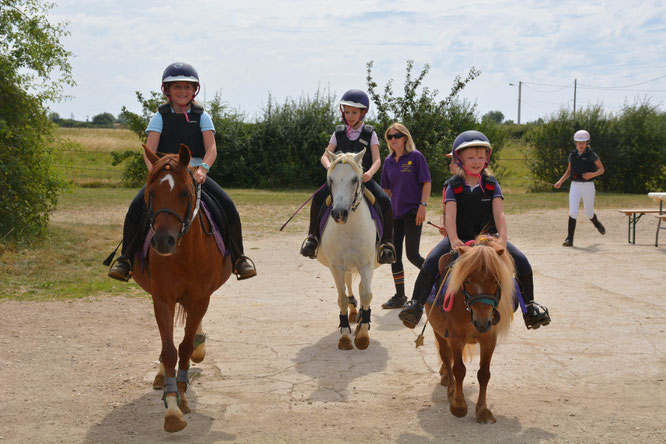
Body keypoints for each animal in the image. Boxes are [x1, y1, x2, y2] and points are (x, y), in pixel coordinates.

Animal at [131, 146, 232, 434]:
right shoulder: (162, 299)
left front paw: (183, 396)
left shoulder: (200, 299)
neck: (184, 254)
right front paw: (172, 407)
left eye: (185, 192)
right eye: (151, 193)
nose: (163, 241)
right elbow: (169, 350)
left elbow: (185, 347)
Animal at [316, 149, 378, 350]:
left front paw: (363, 334)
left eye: (354, 179)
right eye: (331, 180)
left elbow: (366, 294)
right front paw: (344, 336)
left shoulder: (366, 265)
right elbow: (342, 298)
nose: (339, 214)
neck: (349, 227)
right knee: (350, 284)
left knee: (360, 287)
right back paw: (352, 313)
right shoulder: (336, 267)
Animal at [426, 236, 512, 424]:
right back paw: (450, 388)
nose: (482, 322)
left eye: (495, 280)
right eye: (466, 280)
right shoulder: (455, 337)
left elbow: (484, 374)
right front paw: (458, 405)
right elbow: (459, 369)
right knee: (446, 356)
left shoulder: (489, 339)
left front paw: (483, 410)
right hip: (439, 332)